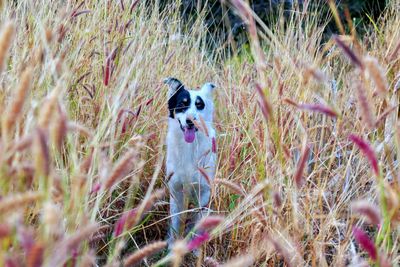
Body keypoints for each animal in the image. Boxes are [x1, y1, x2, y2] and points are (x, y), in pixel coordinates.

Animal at [164, 77, 217, 247]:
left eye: (200, 105)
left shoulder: (204, 191)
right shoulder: (175, 189)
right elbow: (175, 222)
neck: (189, 148)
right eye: (183, 103)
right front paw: (172, 245)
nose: (190, 121)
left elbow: (198, 225)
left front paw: (196, 248)